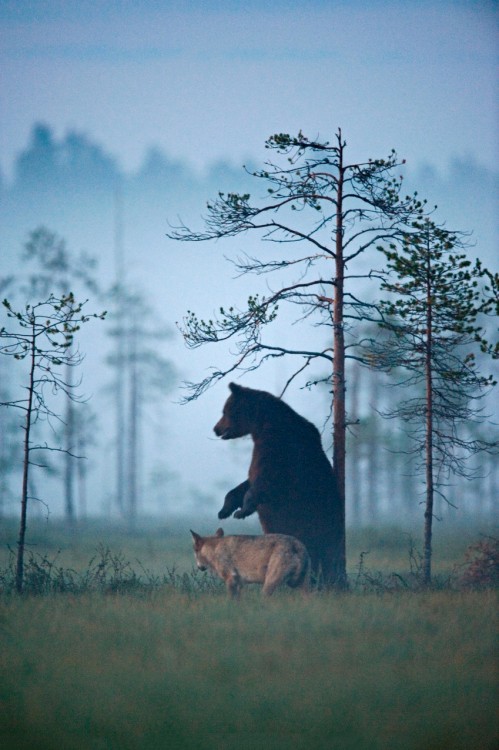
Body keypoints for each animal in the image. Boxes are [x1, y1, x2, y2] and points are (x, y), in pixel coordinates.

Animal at [213, 384, 346, 592]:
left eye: (225, 411)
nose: (216, 429)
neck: (262, 424)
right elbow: (247, 482)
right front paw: (225, 509)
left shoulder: (278, 448)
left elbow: (264, 480)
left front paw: (242, 510)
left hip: (315, 525)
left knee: (319, 554)